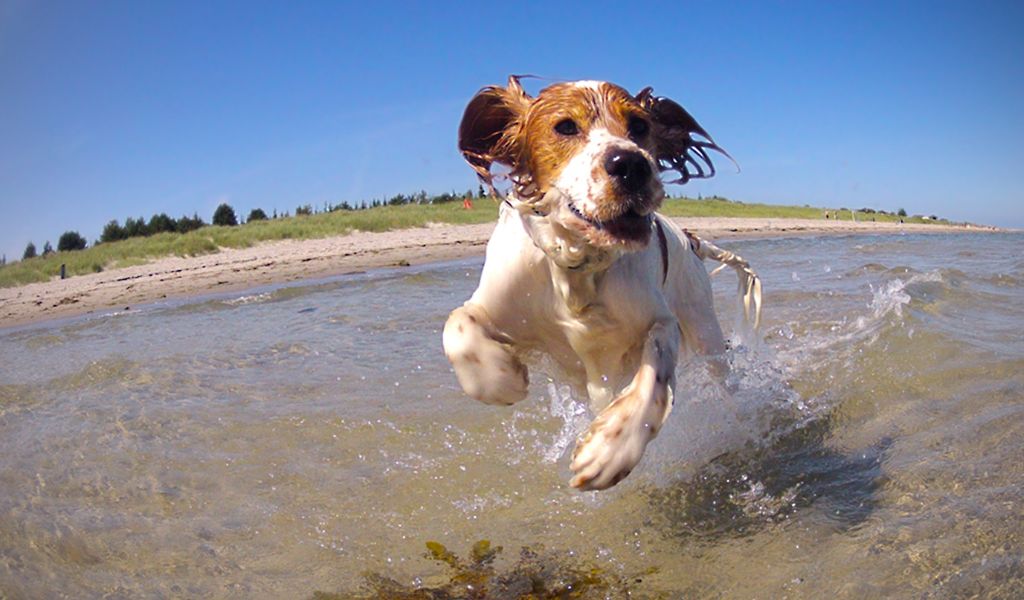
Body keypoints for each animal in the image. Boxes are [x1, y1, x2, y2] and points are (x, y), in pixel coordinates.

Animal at [440, 75, 761, 485]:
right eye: (565, 126)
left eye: (639, 126)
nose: (631, 165)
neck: (579, 267)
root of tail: (691, 238)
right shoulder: (499, 302)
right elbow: (458, 325)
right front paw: (501, 379)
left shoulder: (659, 321)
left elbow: (654, 376)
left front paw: (610, 449)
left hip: (704, 329)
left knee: (724, 379)